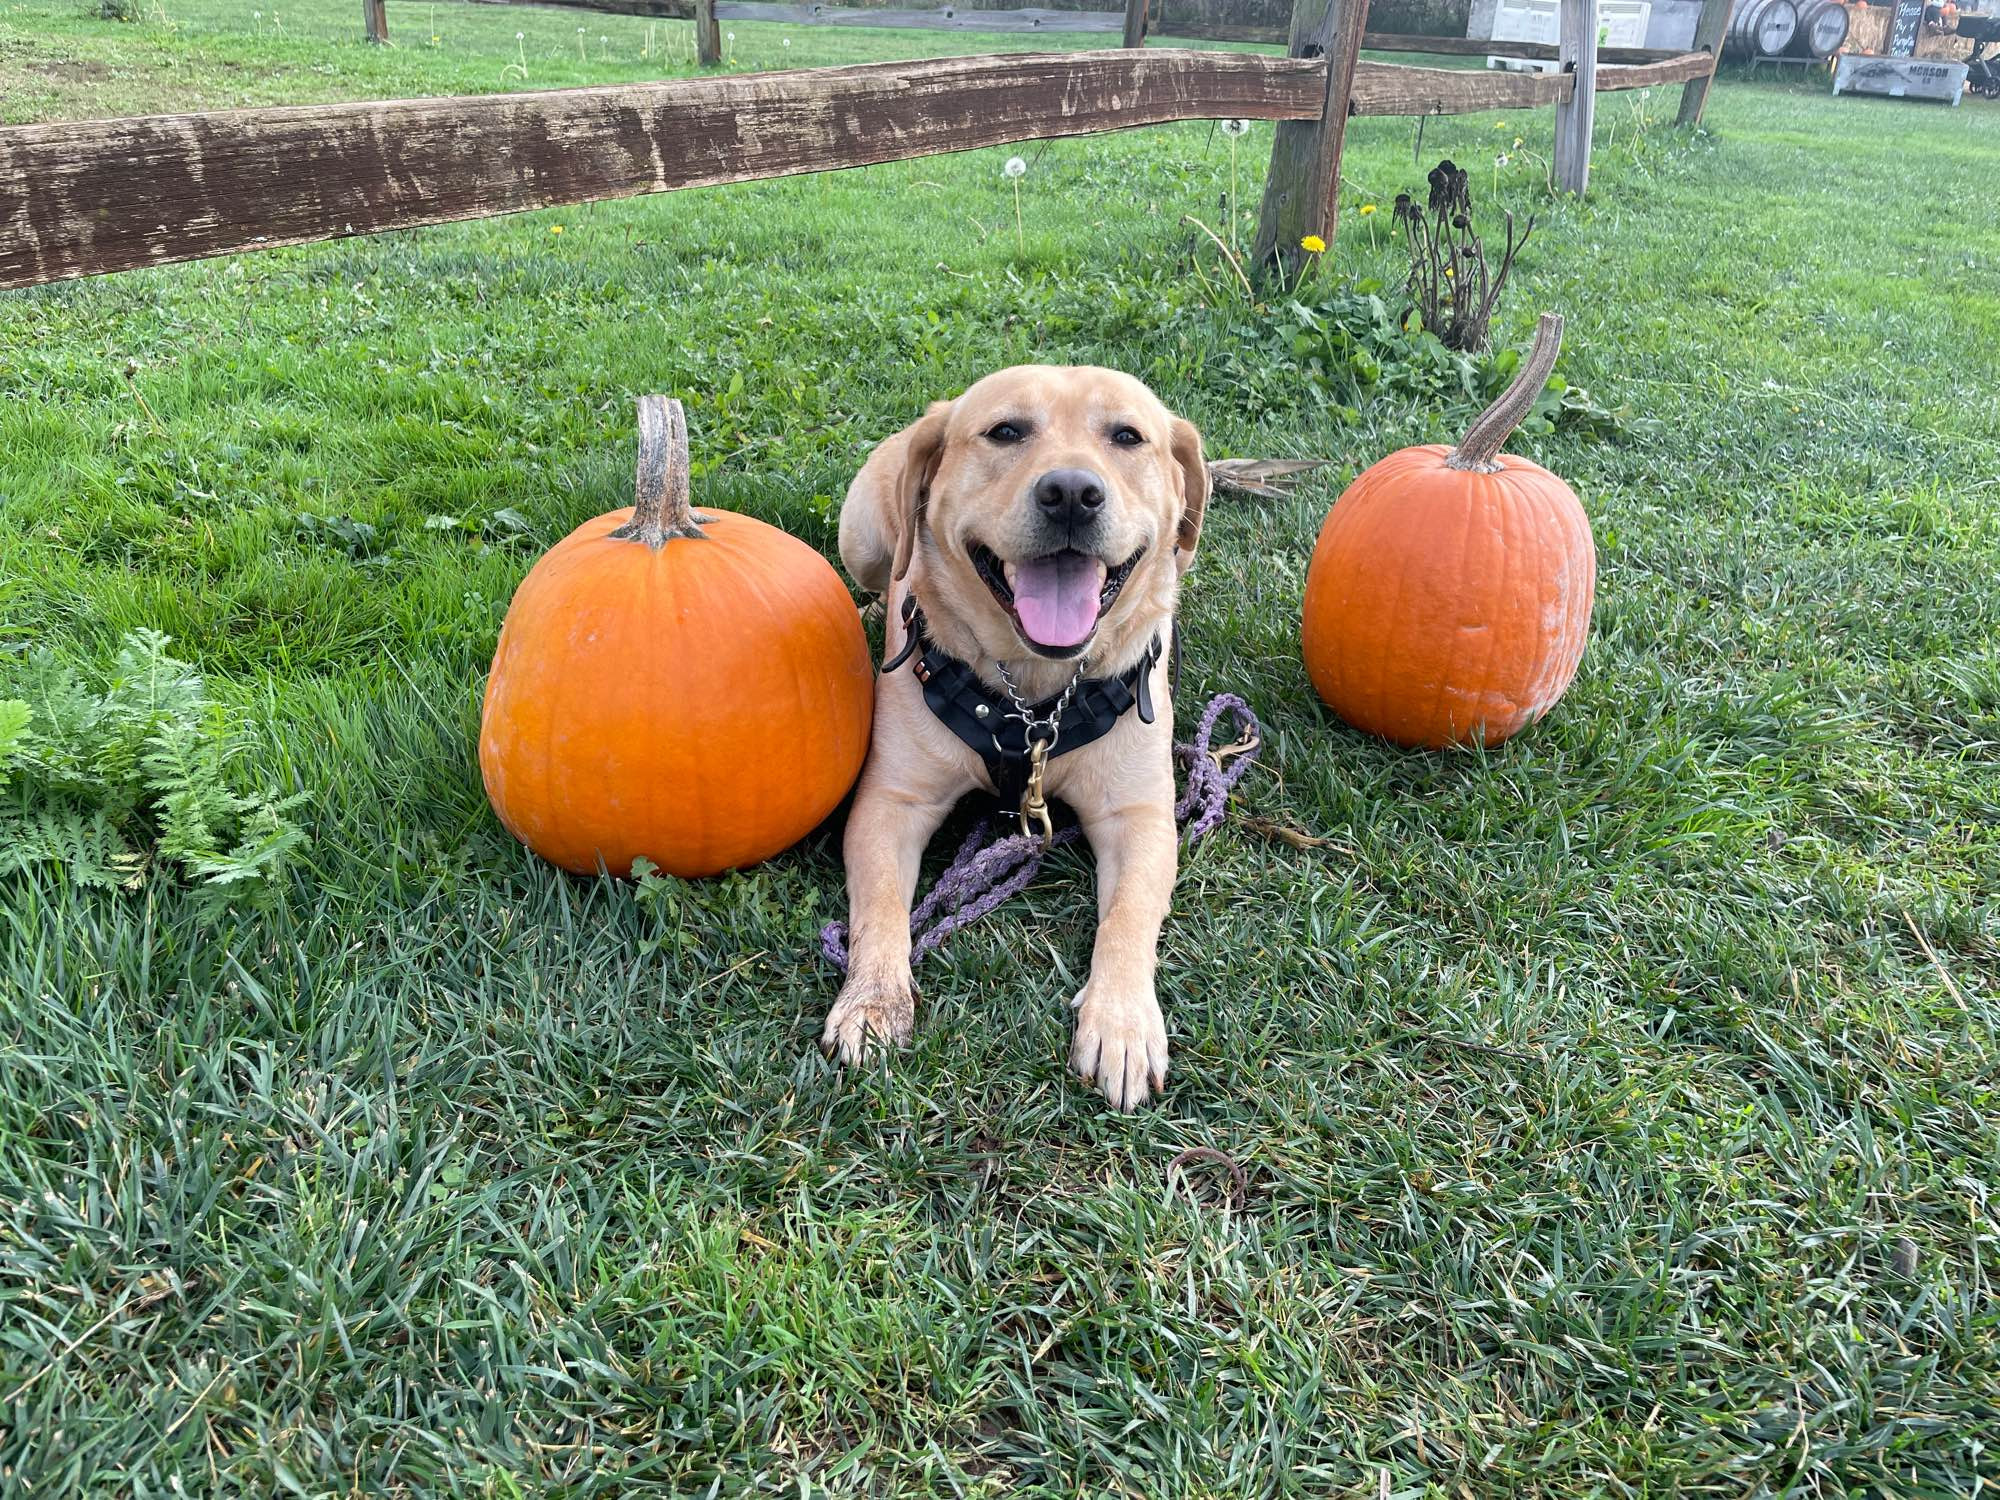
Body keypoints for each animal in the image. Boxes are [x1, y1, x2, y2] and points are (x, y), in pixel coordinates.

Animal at [824, 368, 1200, 1112]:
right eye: (1005, 432)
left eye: (1127, 436)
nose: (1072, 493)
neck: (1036, 694)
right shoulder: (891, 803)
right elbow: (878, 907)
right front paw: (874, 999)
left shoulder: (1140, 815)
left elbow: (1130, 913)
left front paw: (1120, 1020)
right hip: (865, 533)